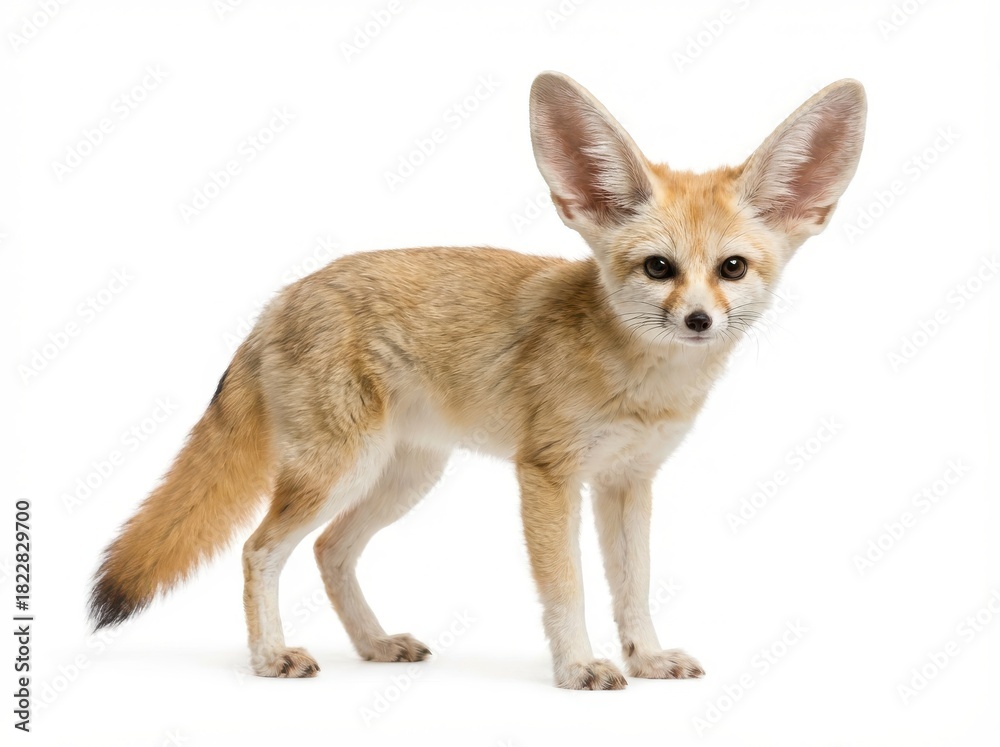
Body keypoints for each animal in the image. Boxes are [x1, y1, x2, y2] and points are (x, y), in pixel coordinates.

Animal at [90, 72, 866, 689]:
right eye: (658, 268)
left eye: (732, 268)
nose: (699, 320)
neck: (640, 385)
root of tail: (282, 297)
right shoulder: (549, 474)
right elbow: (567, 589)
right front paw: (578, 667)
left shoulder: (628, 482)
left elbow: (633, 587)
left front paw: (646, 658)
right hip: (340, 471)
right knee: (260, 550)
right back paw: (271, 656)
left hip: (404, 477)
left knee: (329, 550)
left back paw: (374, 644)